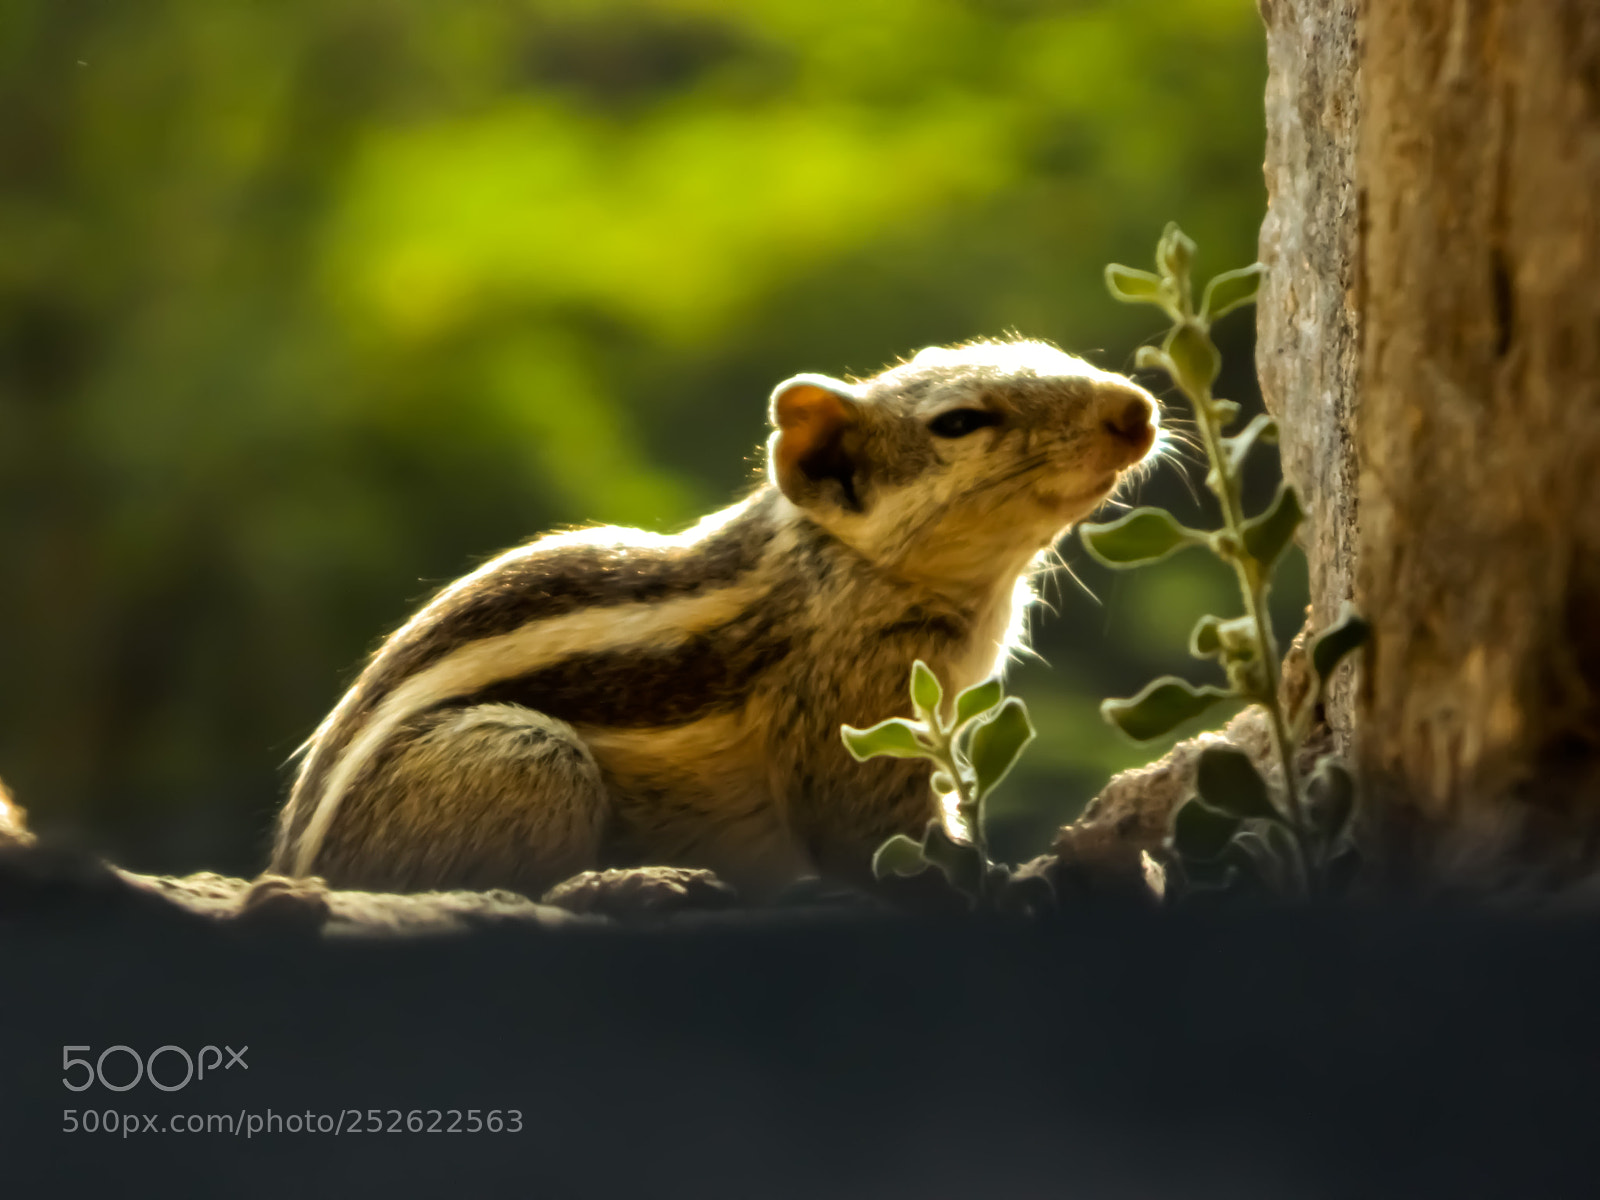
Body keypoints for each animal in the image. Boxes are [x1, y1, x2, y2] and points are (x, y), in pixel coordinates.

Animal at [268, 338, 1160, 900]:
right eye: (960, 423)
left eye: (1055, 355)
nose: (1137, 409)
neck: (837, 566)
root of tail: (295, 865)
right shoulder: (847, 708)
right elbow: (865, 834)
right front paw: (991, 874)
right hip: (523, 756)